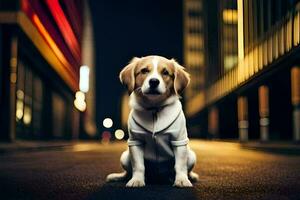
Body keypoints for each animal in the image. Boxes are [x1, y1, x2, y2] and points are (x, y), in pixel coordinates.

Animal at [106, 55, 199, 187]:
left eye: (165, 72)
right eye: (144, 71)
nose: (154, 81)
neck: (154, 108)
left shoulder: (179, 141)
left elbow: (180, 165)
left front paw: (181, 180)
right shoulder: (136, 142)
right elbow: (138, 165)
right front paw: (137, 180)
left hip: (191, 155)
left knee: (186, 168)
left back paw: (190, 176)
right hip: (124, 157)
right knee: (128, 172)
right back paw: (121, 177)